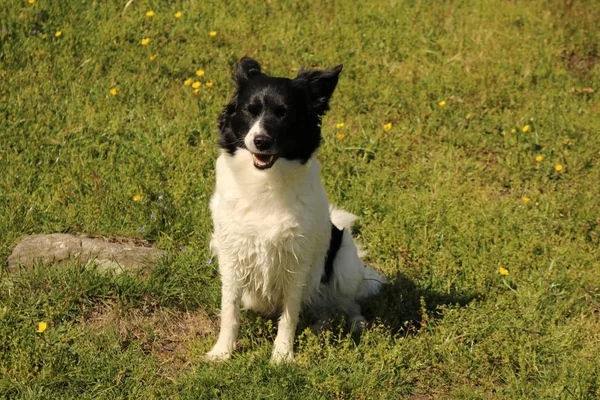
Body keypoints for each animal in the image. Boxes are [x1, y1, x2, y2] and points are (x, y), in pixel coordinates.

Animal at [205, 57, 384, 364]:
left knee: (345, 304)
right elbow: (230, 310)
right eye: (249, 110)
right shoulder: (231, 255)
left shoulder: (296, 262)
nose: (261, 141)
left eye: (284, 115)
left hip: (344, 258)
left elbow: (289, 316)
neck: (266, 182)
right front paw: (222, 352)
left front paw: (282, 357)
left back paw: (347, 323)